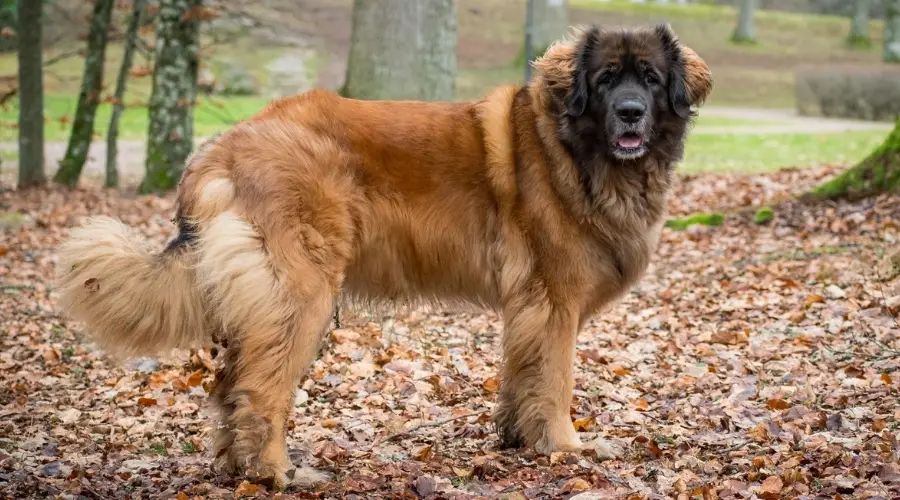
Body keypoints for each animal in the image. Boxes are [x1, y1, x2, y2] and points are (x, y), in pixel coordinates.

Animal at [58, 23, 712, 492]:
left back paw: (235, 470)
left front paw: (517, 439)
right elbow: (555, 378)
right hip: (300, 294)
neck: (574, 150)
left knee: (228, 385)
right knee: (261, 387)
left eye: (651, 79)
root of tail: (225, 146)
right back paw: (276, 473)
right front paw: (566, 448)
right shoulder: (553, 300)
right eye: (604, 81)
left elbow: (520, 374)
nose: (631, 112)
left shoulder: (527, 306)